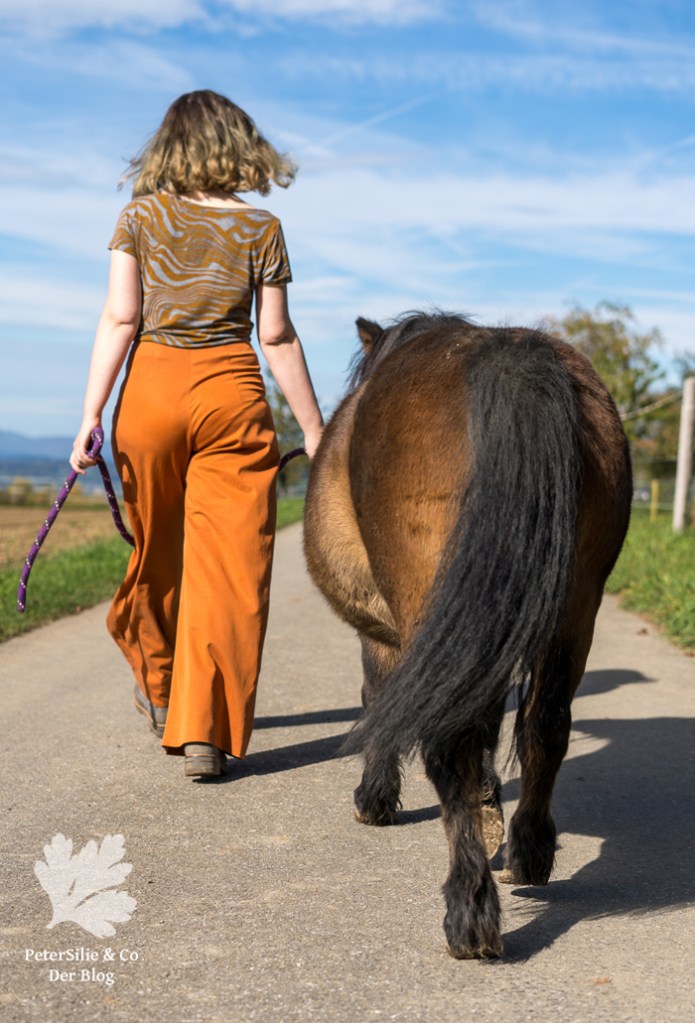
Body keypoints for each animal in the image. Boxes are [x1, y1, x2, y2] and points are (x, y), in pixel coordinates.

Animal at [302, 311, 632, 959]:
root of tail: (510, 361)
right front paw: (491, 810)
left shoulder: (389, 640)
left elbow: (379, 704)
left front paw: (375, 799)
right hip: (576, 608)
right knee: (546, 723)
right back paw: (529, 853)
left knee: (451, 740)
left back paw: (470, 914)